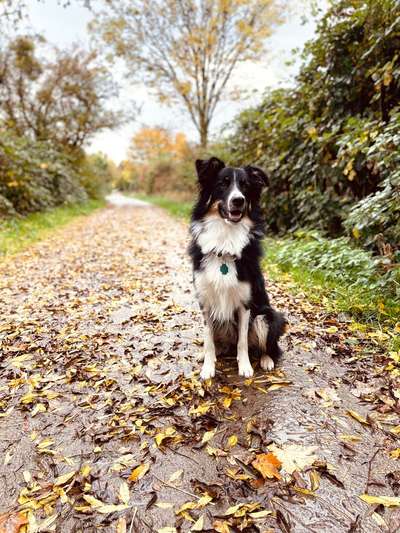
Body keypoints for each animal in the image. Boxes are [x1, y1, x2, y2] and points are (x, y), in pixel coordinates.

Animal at [189, 156, 286, 380]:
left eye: (245, 186)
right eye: (222, 184)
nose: (238, 200)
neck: (225, 240)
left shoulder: (245, 304)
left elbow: (243, 341)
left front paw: (245, 367)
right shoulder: (205, 301)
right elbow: (208, 339)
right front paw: (208, 366)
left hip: (268, 316)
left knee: (268, 347)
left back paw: (266, 360)